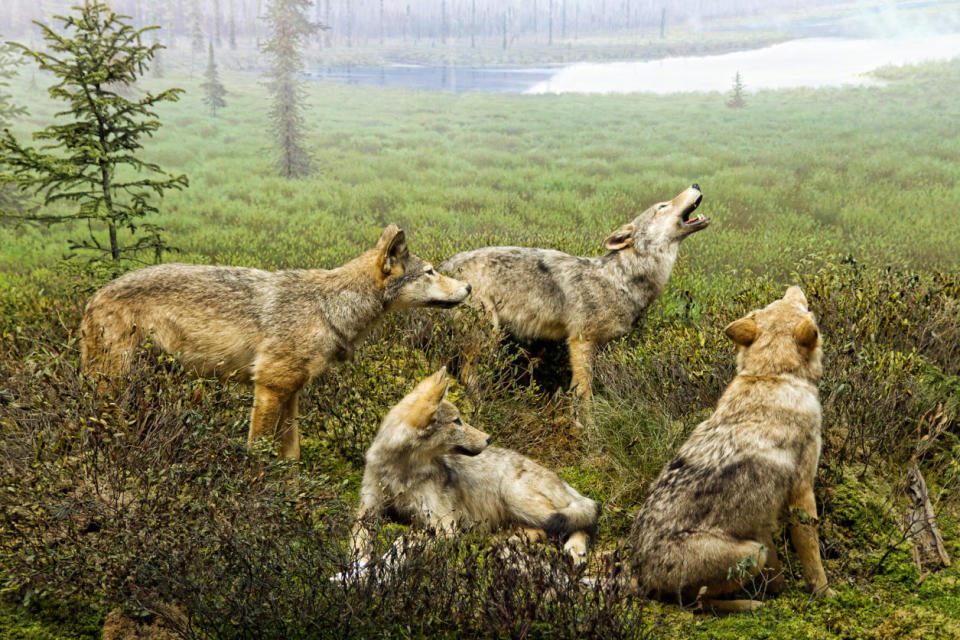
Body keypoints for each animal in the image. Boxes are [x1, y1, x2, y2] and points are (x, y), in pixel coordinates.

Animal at [79, 225, 472, 460]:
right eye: (430, 272)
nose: (468, 288)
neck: (327, 308)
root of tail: (92, 299)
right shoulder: (269, 387)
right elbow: (258, 453)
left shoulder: (292, 392)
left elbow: (291, 454)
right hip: (115, 383)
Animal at [348, 368, 596, 568]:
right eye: (457, 421)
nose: (489, 438)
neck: (400, 471)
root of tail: (562, 480)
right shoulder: (367, 510)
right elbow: (356, 540)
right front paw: (356, 569)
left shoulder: (445, 525)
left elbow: (403, 541)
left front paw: (385, 566)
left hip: (514, 497)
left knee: (582, 520)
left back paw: (573, 550)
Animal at [438, 185, 708, 404]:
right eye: (663, 206)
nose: (696, 184)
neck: (621, 278)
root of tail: (440, 267)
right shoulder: (580, 341)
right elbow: (584, 392)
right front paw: (586, 428)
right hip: (489, 332)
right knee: (467, 375)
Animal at [628, 288, 836, 612]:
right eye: (807, 310)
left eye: (793, 303)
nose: (794, 288)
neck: (772, 374)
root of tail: (640, 573)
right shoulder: (801, 493)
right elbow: (812, 553)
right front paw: (825, 593)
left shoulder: (762, 521)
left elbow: (776, 564)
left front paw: (776, 587)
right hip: (752, 553)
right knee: (698, 604)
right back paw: (750, 605)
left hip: (753, 547)